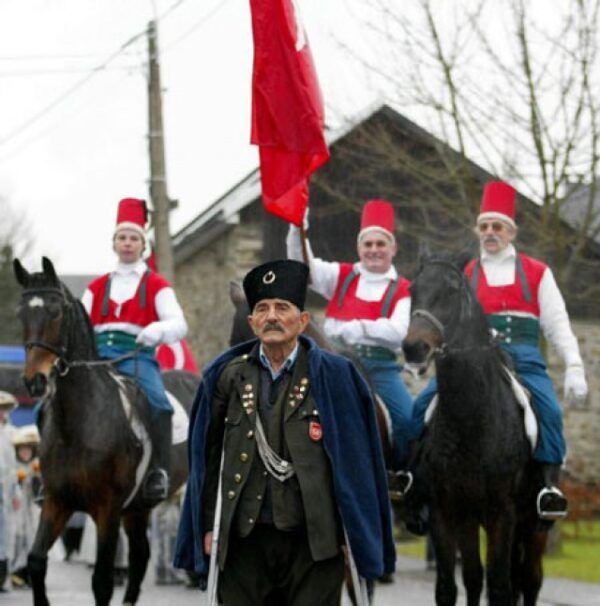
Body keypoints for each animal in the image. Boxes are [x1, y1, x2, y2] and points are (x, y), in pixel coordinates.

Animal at [13, 258, 199, 606]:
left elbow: (101, 580)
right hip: (137, 510)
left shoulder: (107, 509)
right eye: (21, 314)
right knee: (140, 557)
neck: (78, 425)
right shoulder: (57, 502)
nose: (34, 381)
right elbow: (36, 561)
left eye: (55, 312)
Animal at [400, 258, 548, 606]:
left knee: (530, 580)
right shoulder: (448, 511)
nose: (414, 348)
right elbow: (453, 584)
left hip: (533, 526)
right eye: (413, 289)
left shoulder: (501, 515)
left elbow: (500, 587)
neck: (471, 421)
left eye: (452, 291)